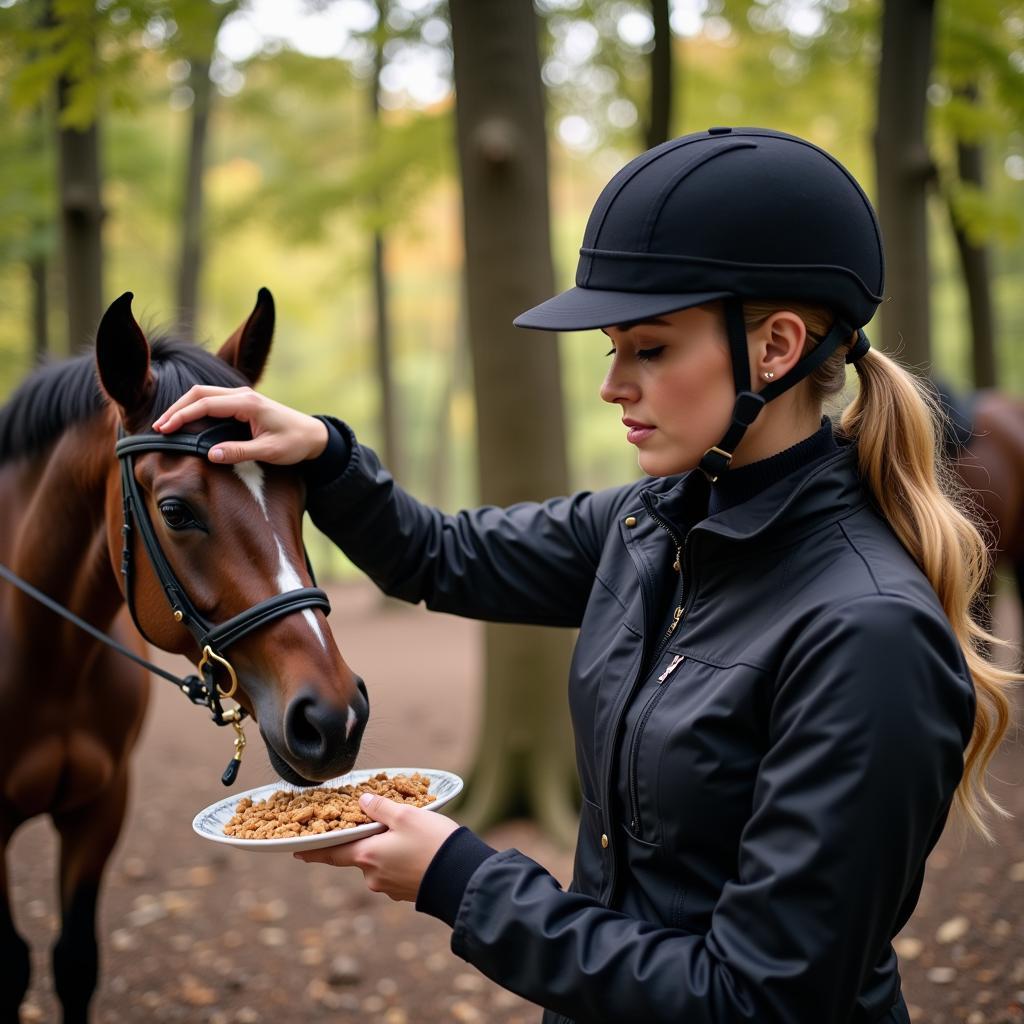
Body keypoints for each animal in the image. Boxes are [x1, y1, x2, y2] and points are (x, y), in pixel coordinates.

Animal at [0, 290, 368, 1024]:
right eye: (175, 511)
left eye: (302, 499)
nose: (334, 719)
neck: (47, 658)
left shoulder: (101, 808)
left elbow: (74, 961)